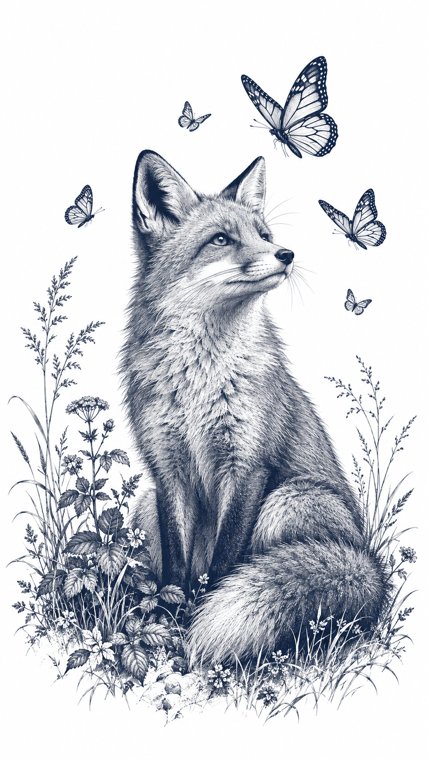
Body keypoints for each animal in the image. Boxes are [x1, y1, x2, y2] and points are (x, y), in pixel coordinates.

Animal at [121, 149, 387, 664]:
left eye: (263, 235)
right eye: (221, 240)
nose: (286, 254)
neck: (199, 382)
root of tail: (365, 557)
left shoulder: (247, 466)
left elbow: (224, 563)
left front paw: (198, 617)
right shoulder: (167, 469)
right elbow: (178, 567)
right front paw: (169, 618)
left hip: (287, 501)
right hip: (145, 505)